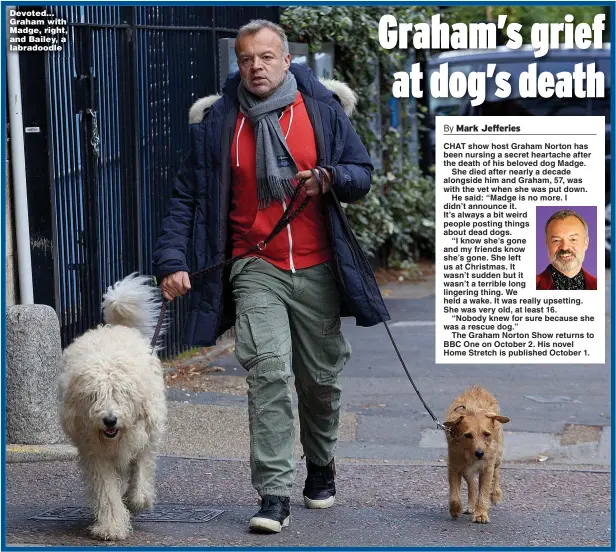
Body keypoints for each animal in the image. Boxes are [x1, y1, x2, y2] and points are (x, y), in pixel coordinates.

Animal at [58, 274, 167, 540]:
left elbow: (141, 474)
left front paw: (137, 501)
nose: (109, 420)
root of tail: (114, 328)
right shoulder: (95, 453)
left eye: (121, 393)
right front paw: (111, 526)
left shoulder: (146, 439)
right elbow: (107, 490)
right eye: (94, 395)